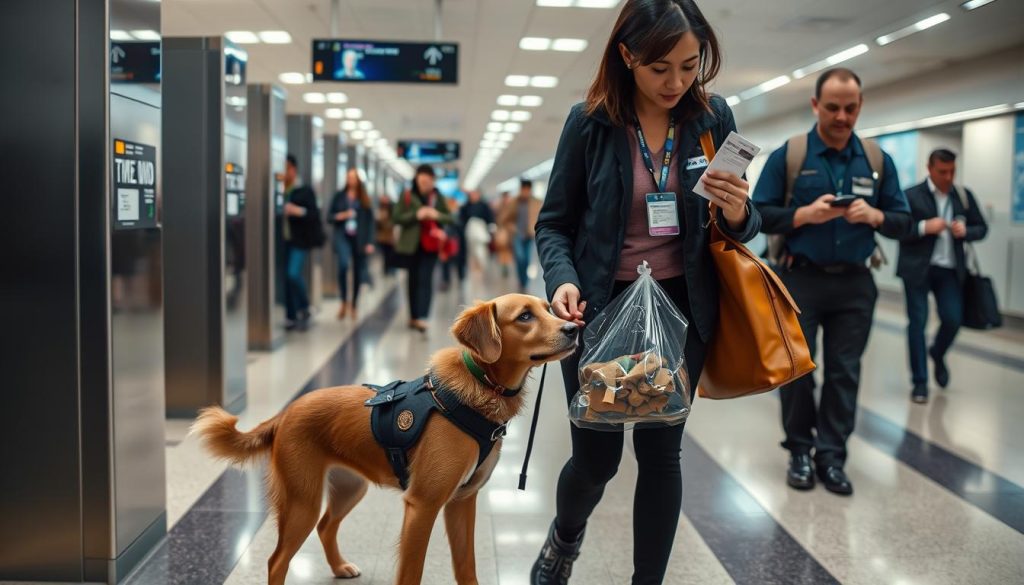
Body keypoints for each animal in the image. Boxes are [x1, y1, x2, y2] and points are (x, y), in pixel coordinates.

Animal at [192, 293, 577, 585]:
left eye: (549, 308)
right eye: (525, 316)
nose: (575, 327)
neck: (480, 387)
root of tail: (285, 412)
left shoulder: (462, 501)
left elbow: (466, 567)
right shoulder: (423, 505)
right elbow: (411, 573)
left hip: (350, 488)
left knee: (326, 527)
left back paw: (339, 567)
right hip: (301, 500)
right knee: (277, 560)